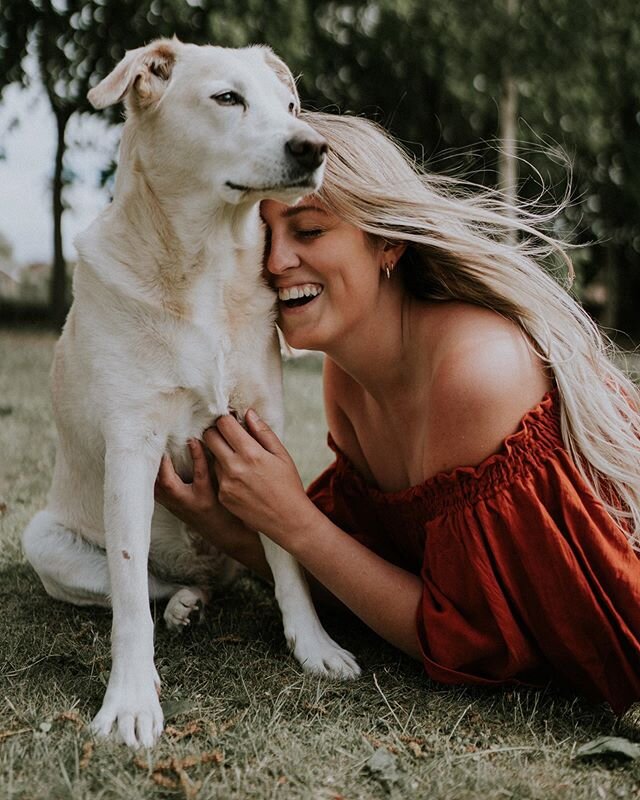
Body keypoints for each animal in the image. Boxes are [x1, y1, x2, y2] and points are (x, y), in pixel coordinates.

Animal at [21, 39, 360, 752]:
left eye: (291, 105)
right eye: (227, 98)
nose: (313, 148)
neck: (206, 266)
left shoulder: (264, 430)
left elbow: (290, 559)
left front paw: (313, 646)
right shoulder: (131, 447)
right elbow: (127, 594)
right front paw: (130, 700)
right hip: (46, 539)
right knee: (142, 586)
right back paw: (182, 604)